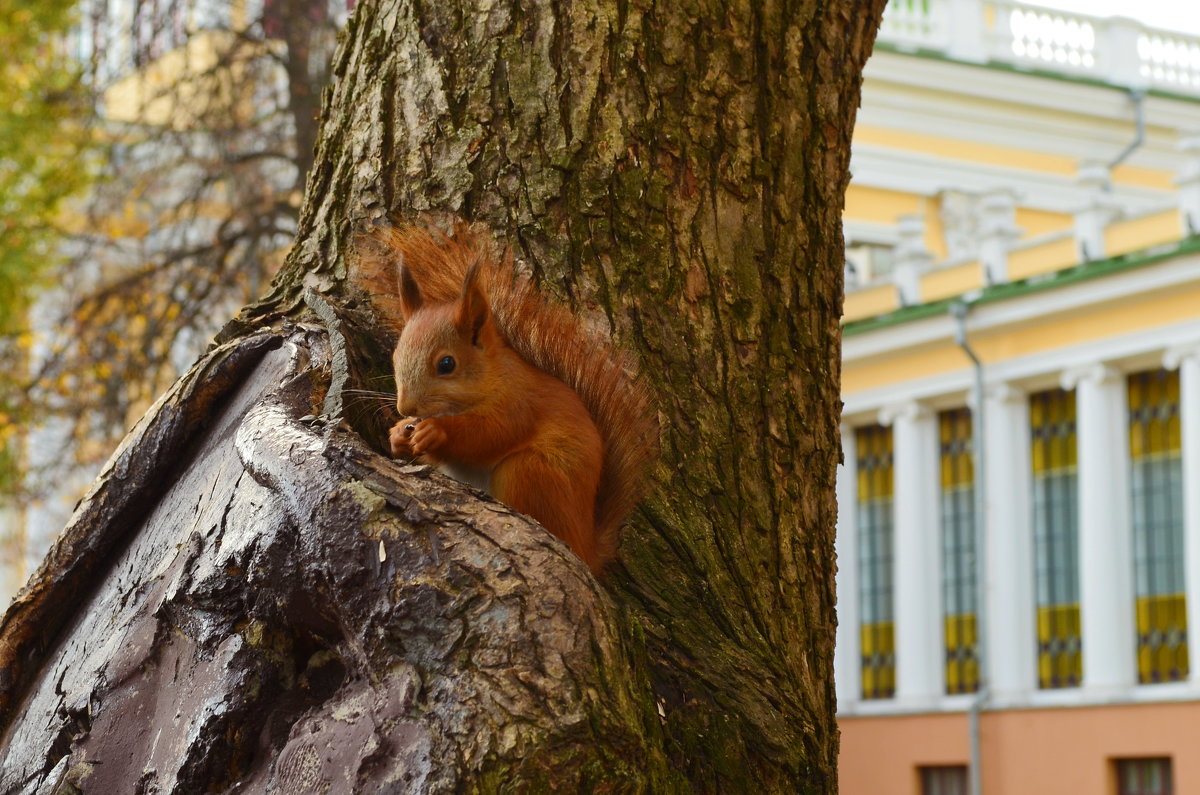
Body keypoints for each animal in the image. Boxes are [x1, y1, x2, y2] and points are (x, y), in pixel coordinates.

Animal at [355, 220, 657, 576]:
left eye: (447, 364)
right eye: (396, 354)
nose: (406, 407)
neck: (491, 379)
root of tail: (587, 548)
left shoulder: (519, 403)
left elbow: (491, 434)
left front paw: (436, 432)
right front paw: (399, 435)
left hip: (529, 472)